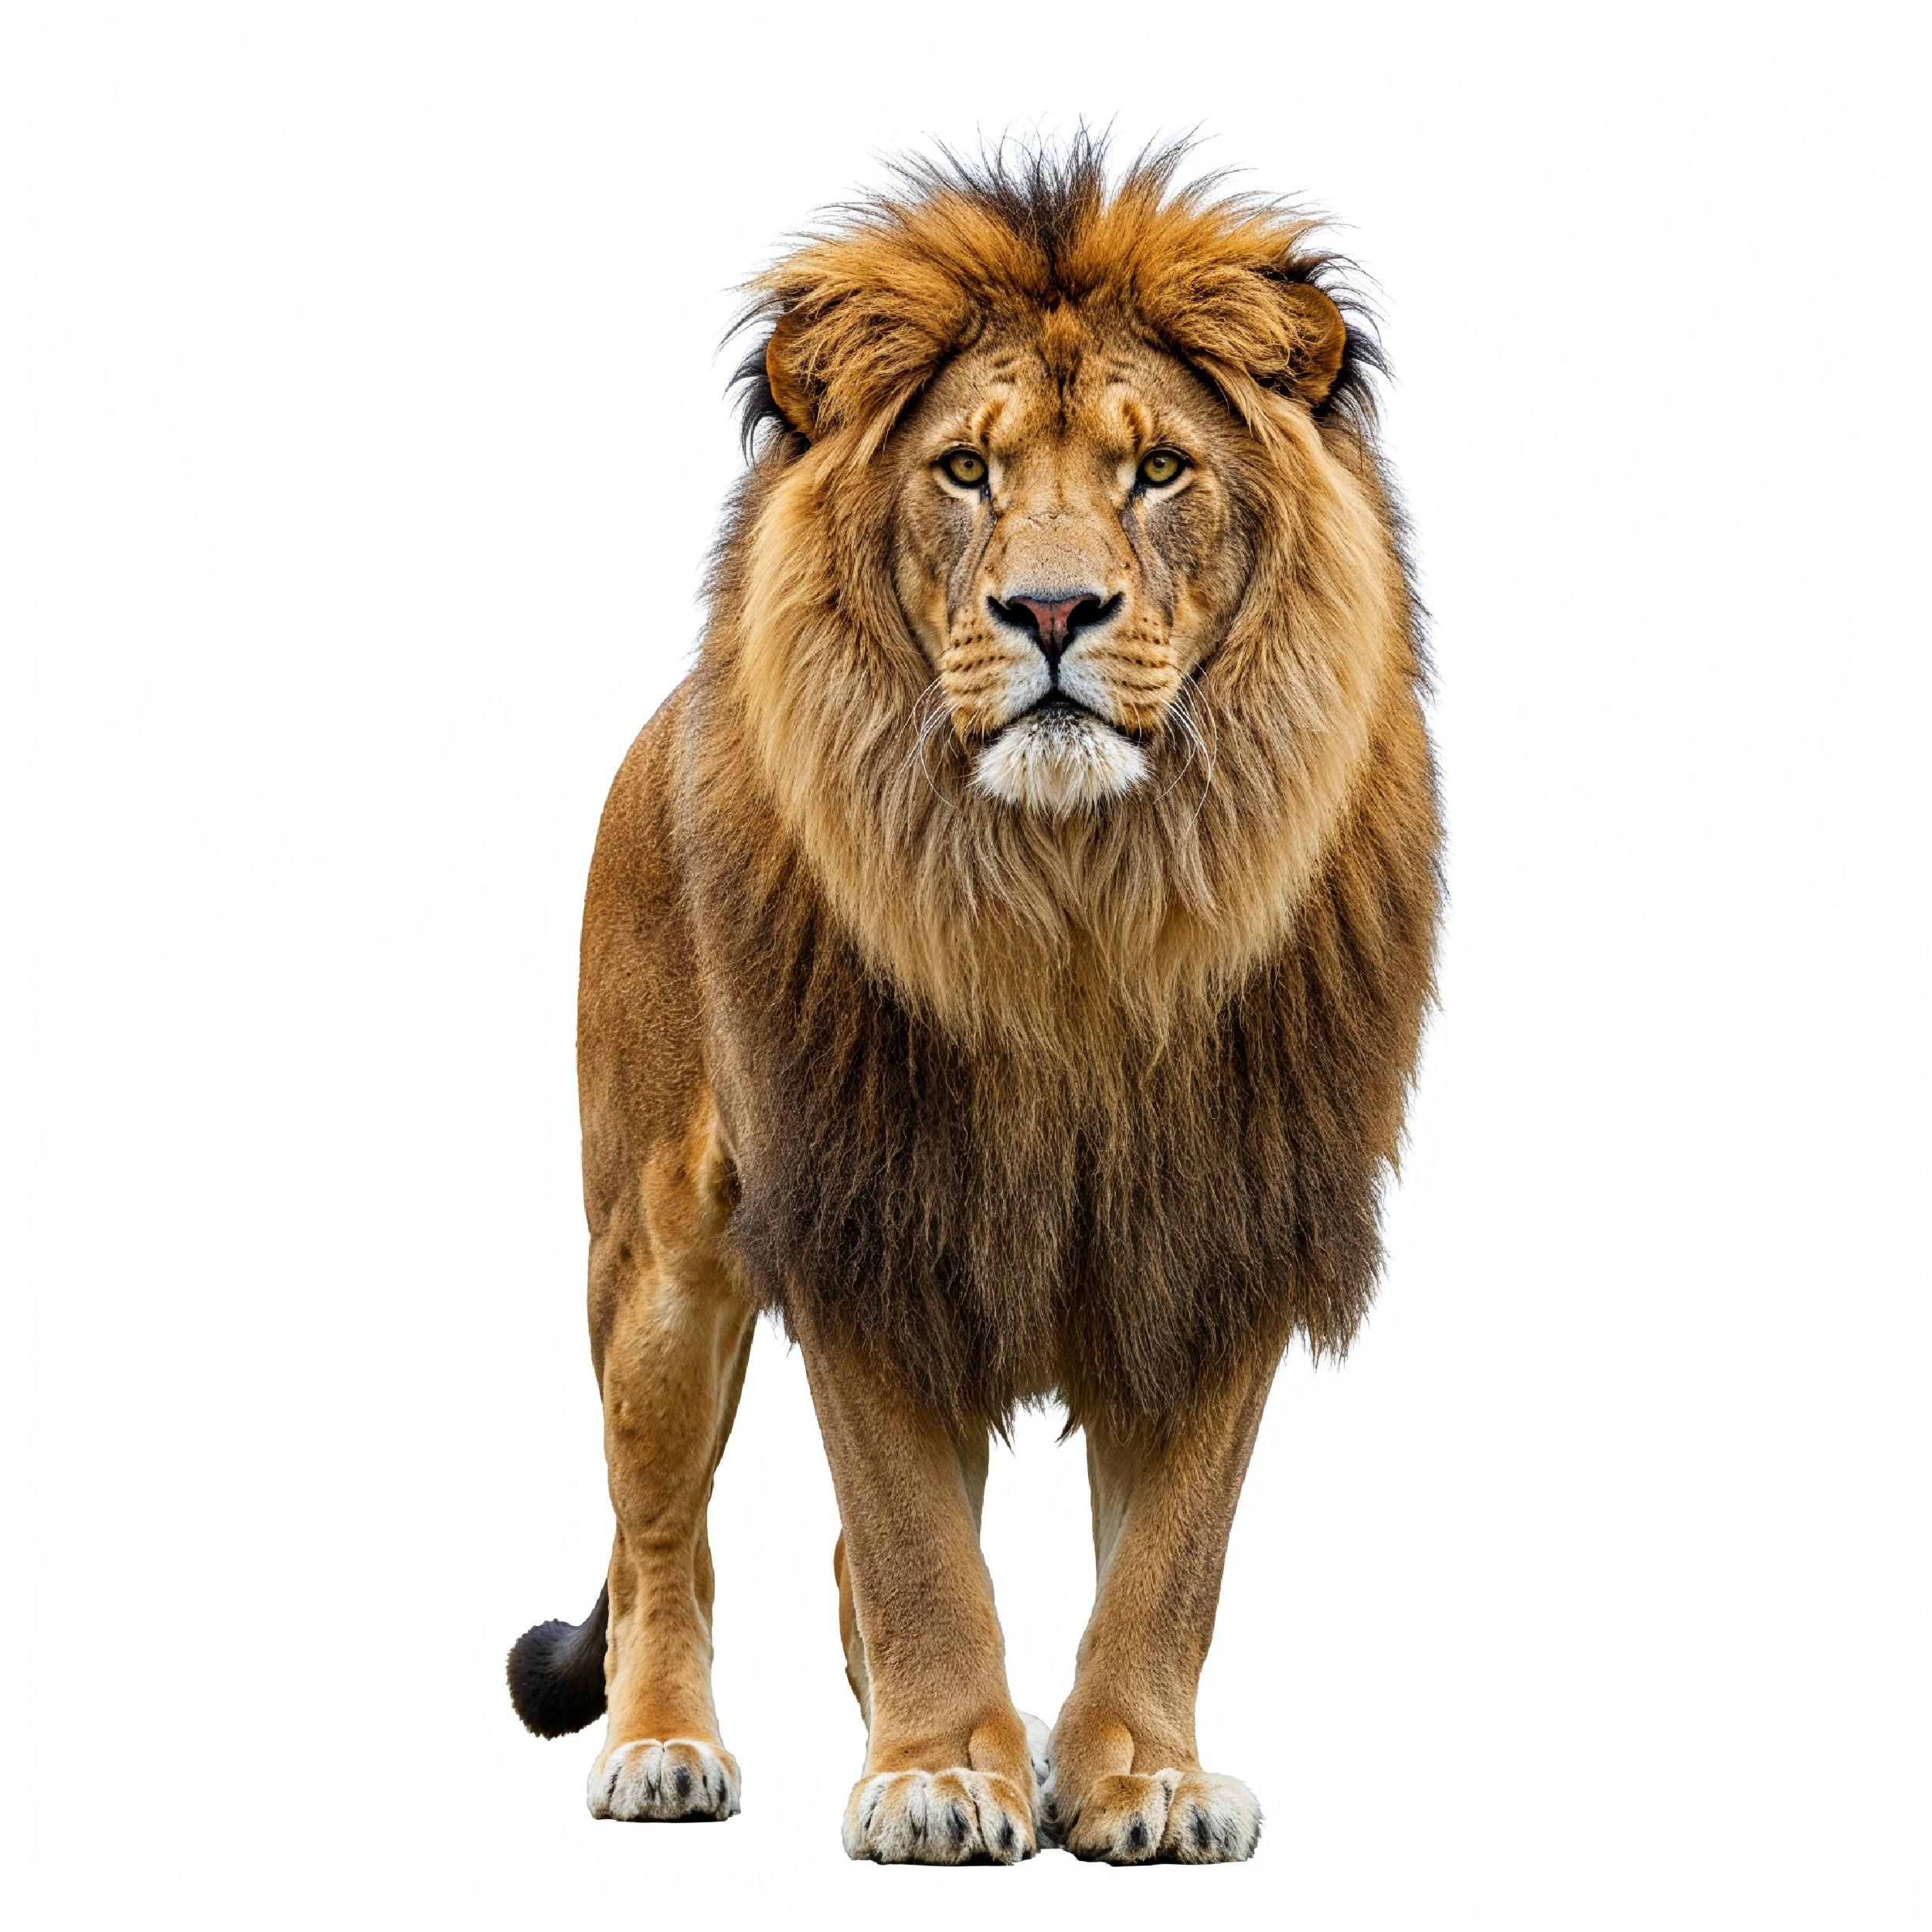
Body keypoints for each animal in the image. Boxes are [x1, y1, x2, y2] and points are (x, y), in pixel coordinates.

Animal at [507, 137, 1440, 1866]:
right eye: (963, 471)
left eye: (1157, 471)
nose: (1054, 613)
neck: (1070, 904)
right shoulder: (861, 1207)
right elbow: (911, 1538)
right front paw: (941, 1772)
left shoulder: (1222, 1218)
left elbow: (1173, 1554)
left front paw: (1138, 1775)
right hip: (651, 1259)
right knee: (658, 1533)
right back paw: (662, 1745)